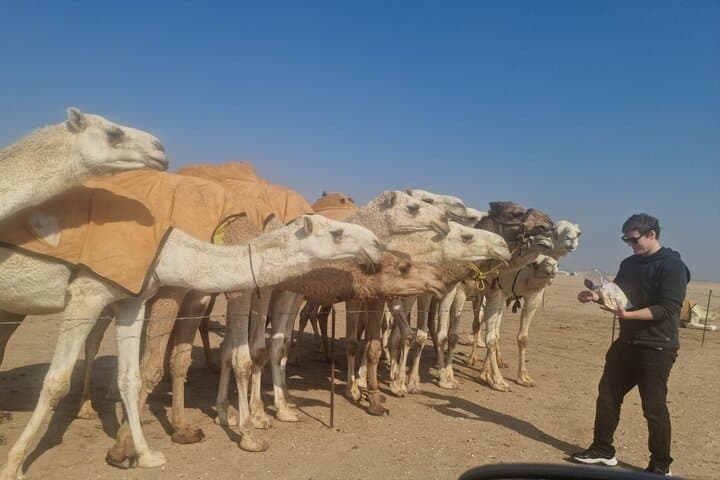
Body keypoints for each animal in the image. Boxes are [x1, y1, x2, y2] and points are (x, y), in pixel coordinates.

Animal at [0, 189, 382, 480]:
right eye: (336, 232)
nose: (377, 245)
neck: (169, 250)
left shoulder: (130, 301)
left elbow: (131, 376)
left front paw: (146, 455)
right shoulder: (87, 292)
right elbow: (55, 382)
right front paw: (14, 466)